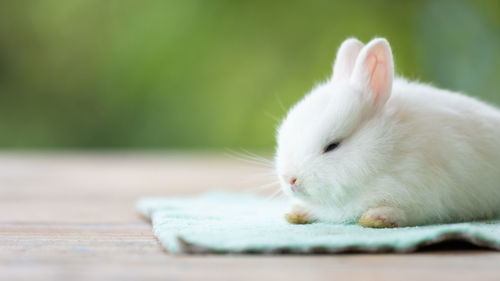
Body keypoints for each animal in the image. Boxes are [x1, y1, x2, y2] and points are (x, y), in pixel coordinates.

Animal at [276, 37, 500, 226]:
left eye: (332, 145)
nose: (290, 179)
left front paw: (376, 218)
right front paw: (297, 212)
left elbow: (403, 212)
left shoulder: (424, 195)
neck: (388, 150)